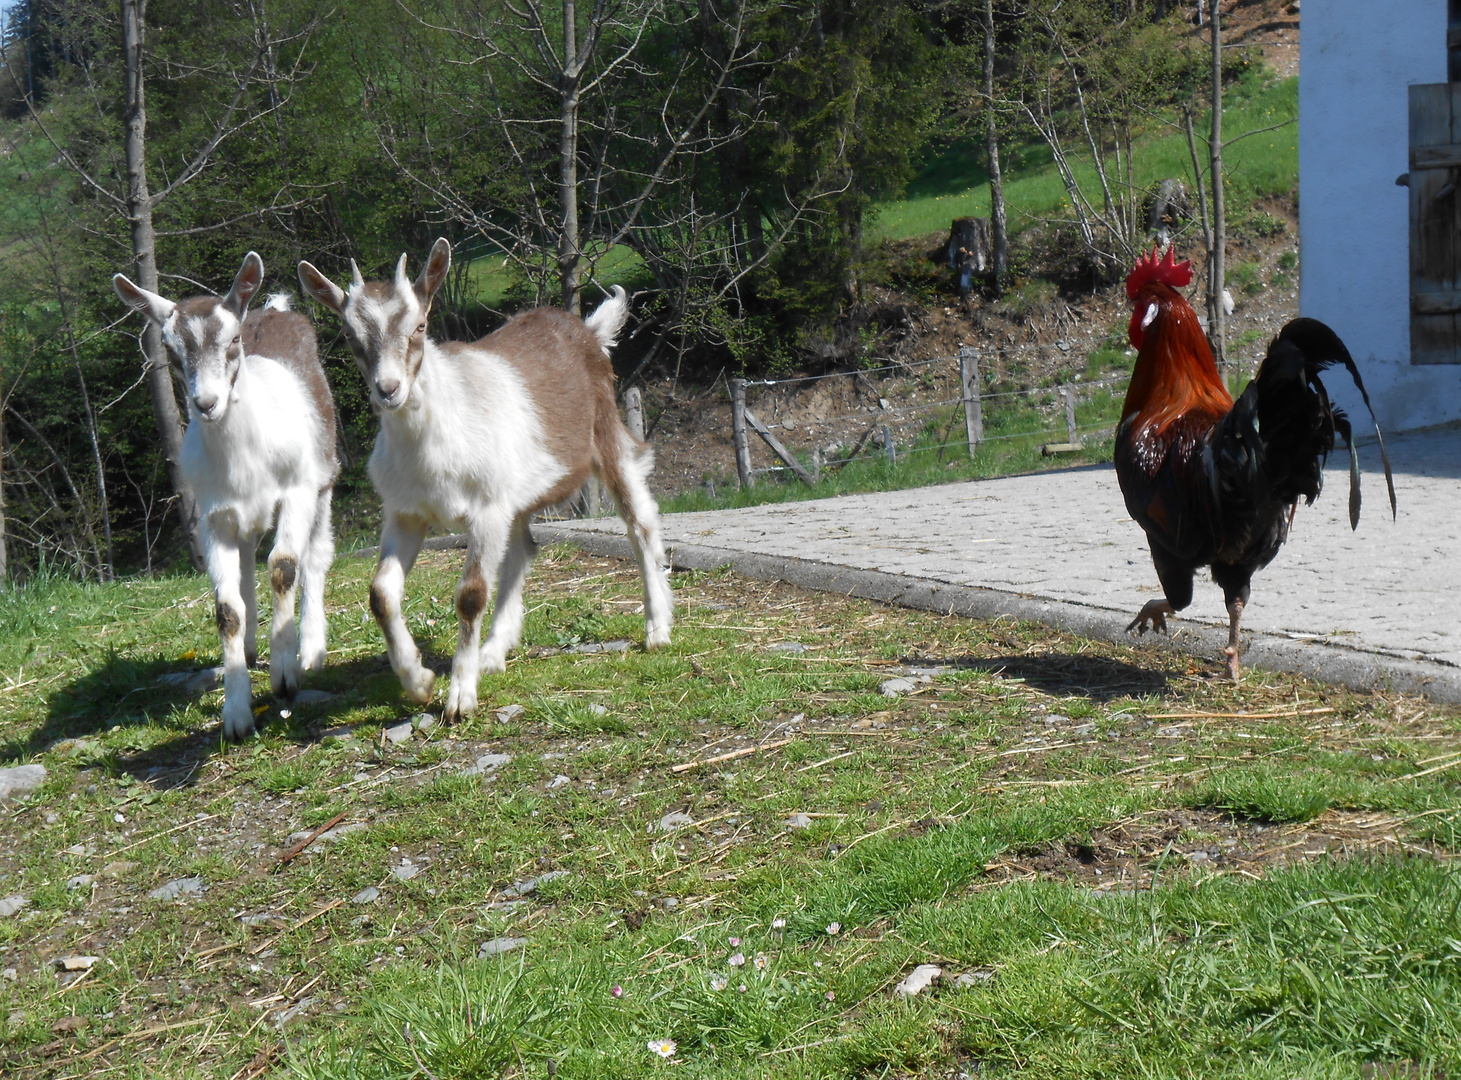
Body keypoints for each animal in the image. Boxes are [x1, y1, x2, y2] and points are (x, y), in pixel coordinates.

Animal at [114, 254, 338, 742]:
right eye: (170, 349)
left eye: (233, 339)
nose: (207, 403)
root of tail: (275, 308)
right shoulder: (211, 517)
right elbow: (226, 608)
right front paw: (236, 714)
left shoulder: (297, 489)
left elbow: (284, 567)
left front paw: (285, 675)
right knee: (249, 558)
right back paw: (253, 648)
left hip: (324, 474)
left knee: (315, 555)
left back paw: (312, 648)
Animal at [299, 241, 674, 721]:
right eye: (349, 335)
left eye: (419, 325)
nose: (388, 389)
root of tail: (589, 330)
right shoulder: (405, 513)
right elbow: (381, 594)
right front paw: (418, 681)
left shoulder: (486, 509)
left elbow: (471, 595)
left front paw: (460, 697)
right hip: (514, 492)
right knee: (521, 551)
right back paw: (493, 652)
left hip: (607, 434)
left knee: (639, 521)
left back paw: (657, 628)